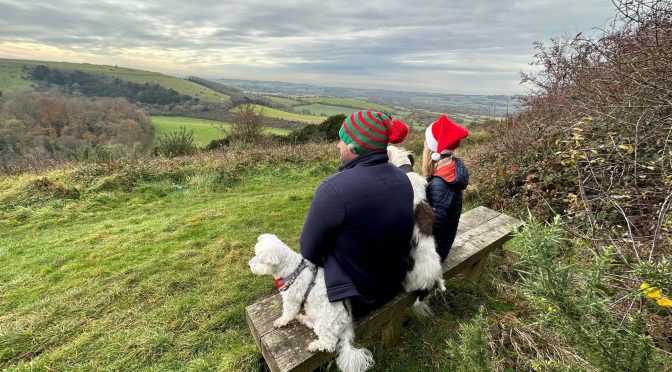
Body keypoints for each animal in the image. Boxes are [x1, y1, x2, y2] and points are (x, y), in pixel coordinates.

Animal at [248, 234, 372, 370]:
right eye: (255, 254)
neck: (292, 269)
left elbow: (288, 313)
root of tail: (348, 322)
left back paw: (314, 345)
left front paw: (281, 321)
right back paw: (301, 318)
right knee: (311, 323)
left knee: (329, 343)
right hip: (313, 314)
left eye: (260, 259)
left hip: (324, 324)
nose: (248, 265)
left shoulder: (291, 299)